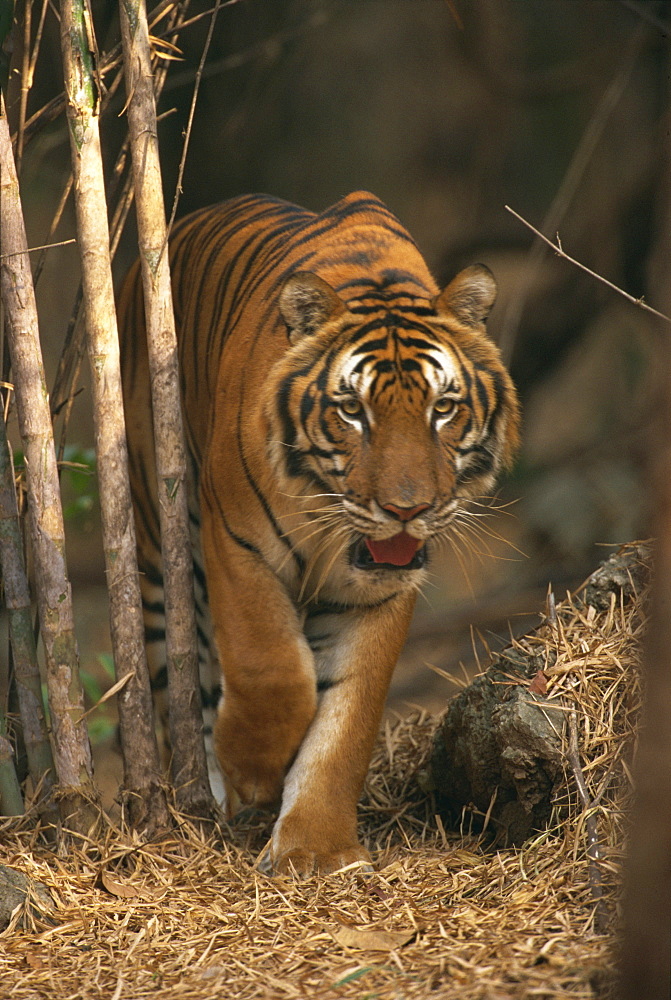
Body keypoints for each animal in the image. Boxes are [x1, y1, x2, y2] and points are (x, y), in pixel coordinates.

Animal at [118, 189, 524, 876]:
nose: (407, 509)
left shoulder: (382, 589)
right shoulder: (239, 549)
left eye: (442, 408)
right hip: (155, 549)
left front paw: (315, 849)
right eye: (352, 411)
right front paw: (256, 772)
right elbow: (272, 671)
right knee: (182, 682)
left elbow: (347, 719)